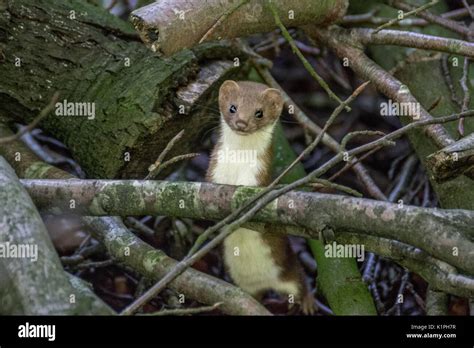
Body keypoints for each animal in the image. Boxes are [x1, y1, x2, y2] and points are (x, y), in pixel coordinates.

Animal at [206, 80, 314, 314]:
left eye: (259, 112)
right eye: (233, 107)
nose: (241, 122)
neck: (238, 162)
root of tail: (265, 284)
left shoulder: (259, 172)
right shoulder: (214, 167)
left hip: (288, 269)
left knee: (300, 281)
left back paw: (308, 303)